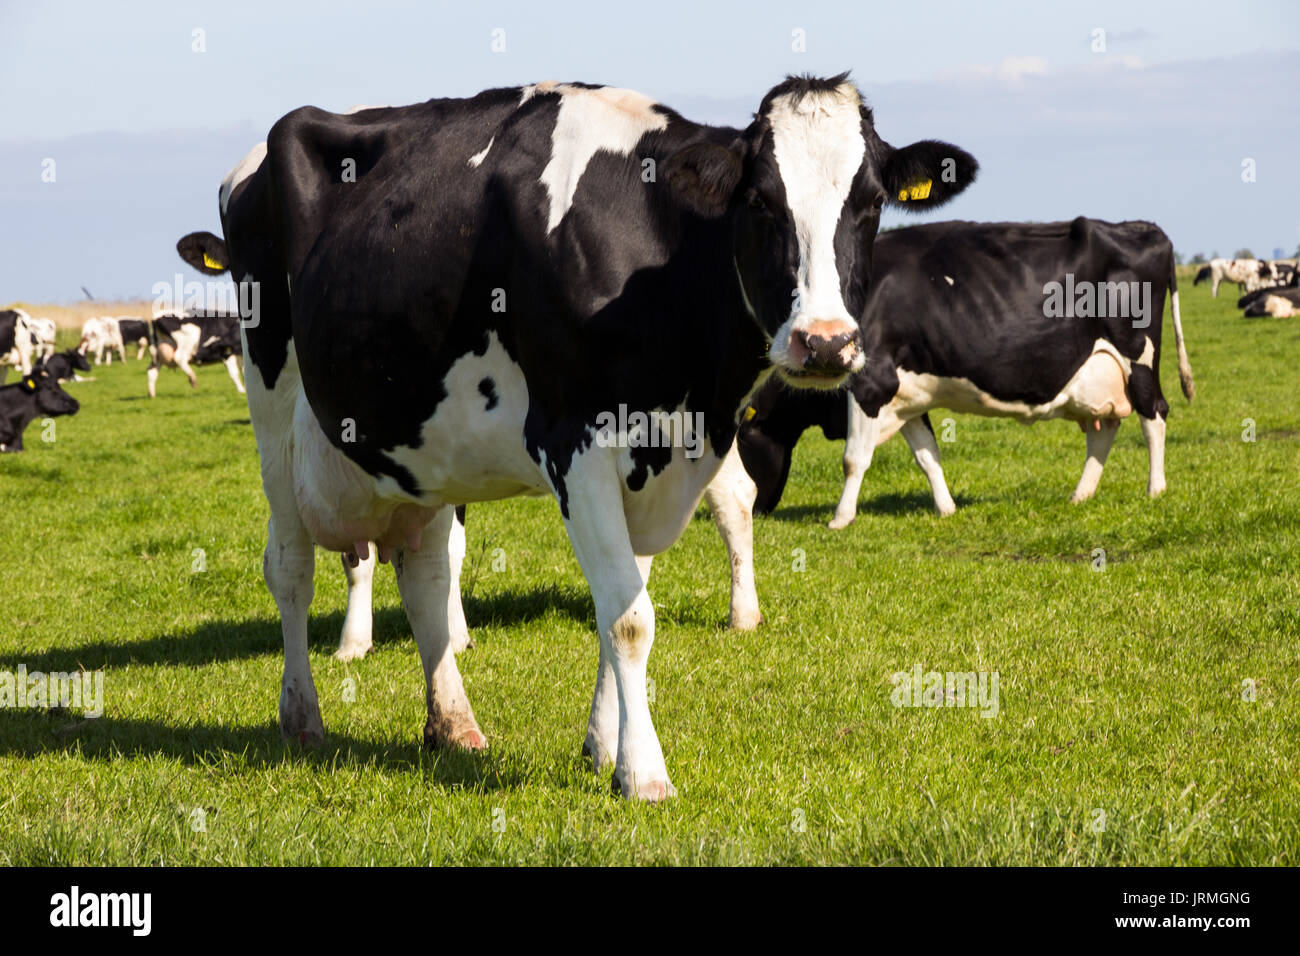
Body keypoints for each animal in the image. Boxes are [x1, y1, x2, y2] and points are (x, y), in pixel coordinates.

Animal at [175, 75, 977, 800]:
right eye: (760, 203)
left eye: (869, 204)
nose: (826, 343)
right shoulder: (577, 441)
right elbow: (629, 618)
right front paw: (644, 775)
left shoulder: (655, 455)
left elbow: (618, 601)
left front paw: (602, 748)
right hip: (273, 405)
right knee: (290, 567)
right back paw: (302, 716)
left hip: (420, 445)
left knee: (427, 575)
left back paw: (453, 725)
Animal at [730, 219, 1194, 528]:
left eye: (742, 438)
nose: (754, 510)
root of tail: (1143, 228)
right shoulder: (907, 396)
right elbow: (927, 456)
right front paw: (946, 507)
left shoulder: (870, 384)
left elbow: (853, 459)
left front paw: (840, 519)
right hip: (1099, 375)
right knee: (1105, 429)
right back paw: (1081, 496)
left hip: (1139, 356)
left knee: (1154, 414)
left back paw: (1155, 489)